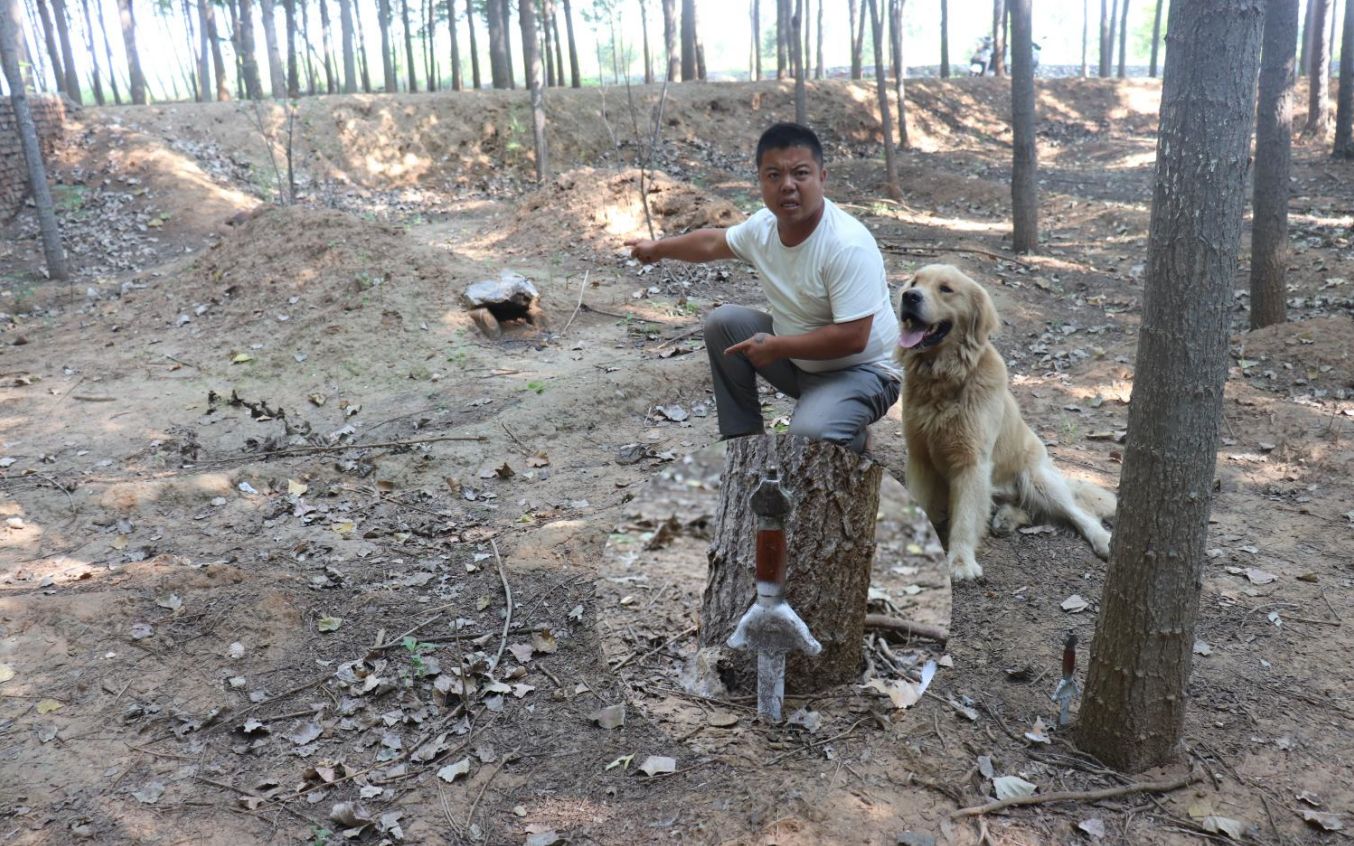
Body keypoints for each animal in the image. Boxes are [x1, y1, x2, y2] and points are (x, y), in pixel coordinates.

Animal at [893, 263, 1115, 579]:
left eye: (946, 288)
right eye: (914, 282)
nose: (909, 297)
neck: (945, 378)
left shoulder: (972, 462)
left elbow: (965, 519)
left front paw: (961, 562)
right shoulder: (919, 455)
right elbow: (919, 503)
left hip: (1038, 479)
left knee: (1078, 513)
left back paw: (1102, 539)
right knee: (1023, 508)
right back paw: (1006, 519)